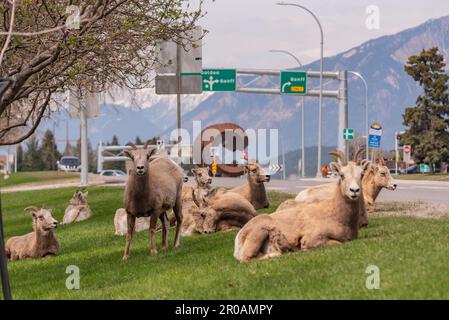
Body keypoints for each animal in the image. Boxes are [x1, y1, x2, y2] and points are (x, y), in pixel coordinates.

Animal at [233, 150, 370, 262]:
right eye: (342, 175)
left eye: (362, 174)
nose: (354, 191)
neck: (337, 217)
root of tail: (238, 239)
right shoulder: (313, 239)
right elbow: (336, 243)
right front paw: (301, 249)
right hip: (259, 233)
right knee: (247, 258)